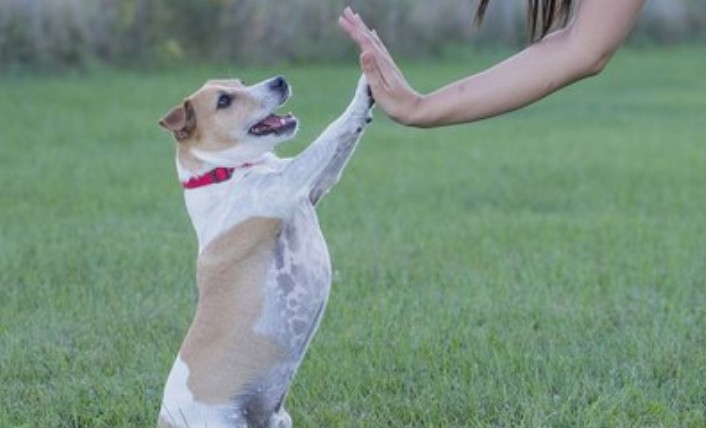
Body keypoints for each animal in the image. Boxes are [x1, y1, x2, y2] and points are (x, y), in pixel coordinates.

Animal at [155, 74, 374, 428]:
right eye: (224, 101)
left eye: (240, 82)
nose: (279, 80)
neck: (221, 173)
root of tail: (167, 420)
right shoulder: (286, 184)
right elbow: (332, 130)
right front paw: (360, 96)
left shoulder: (317, 186)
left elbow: (340, 144)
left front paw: (370, 87)